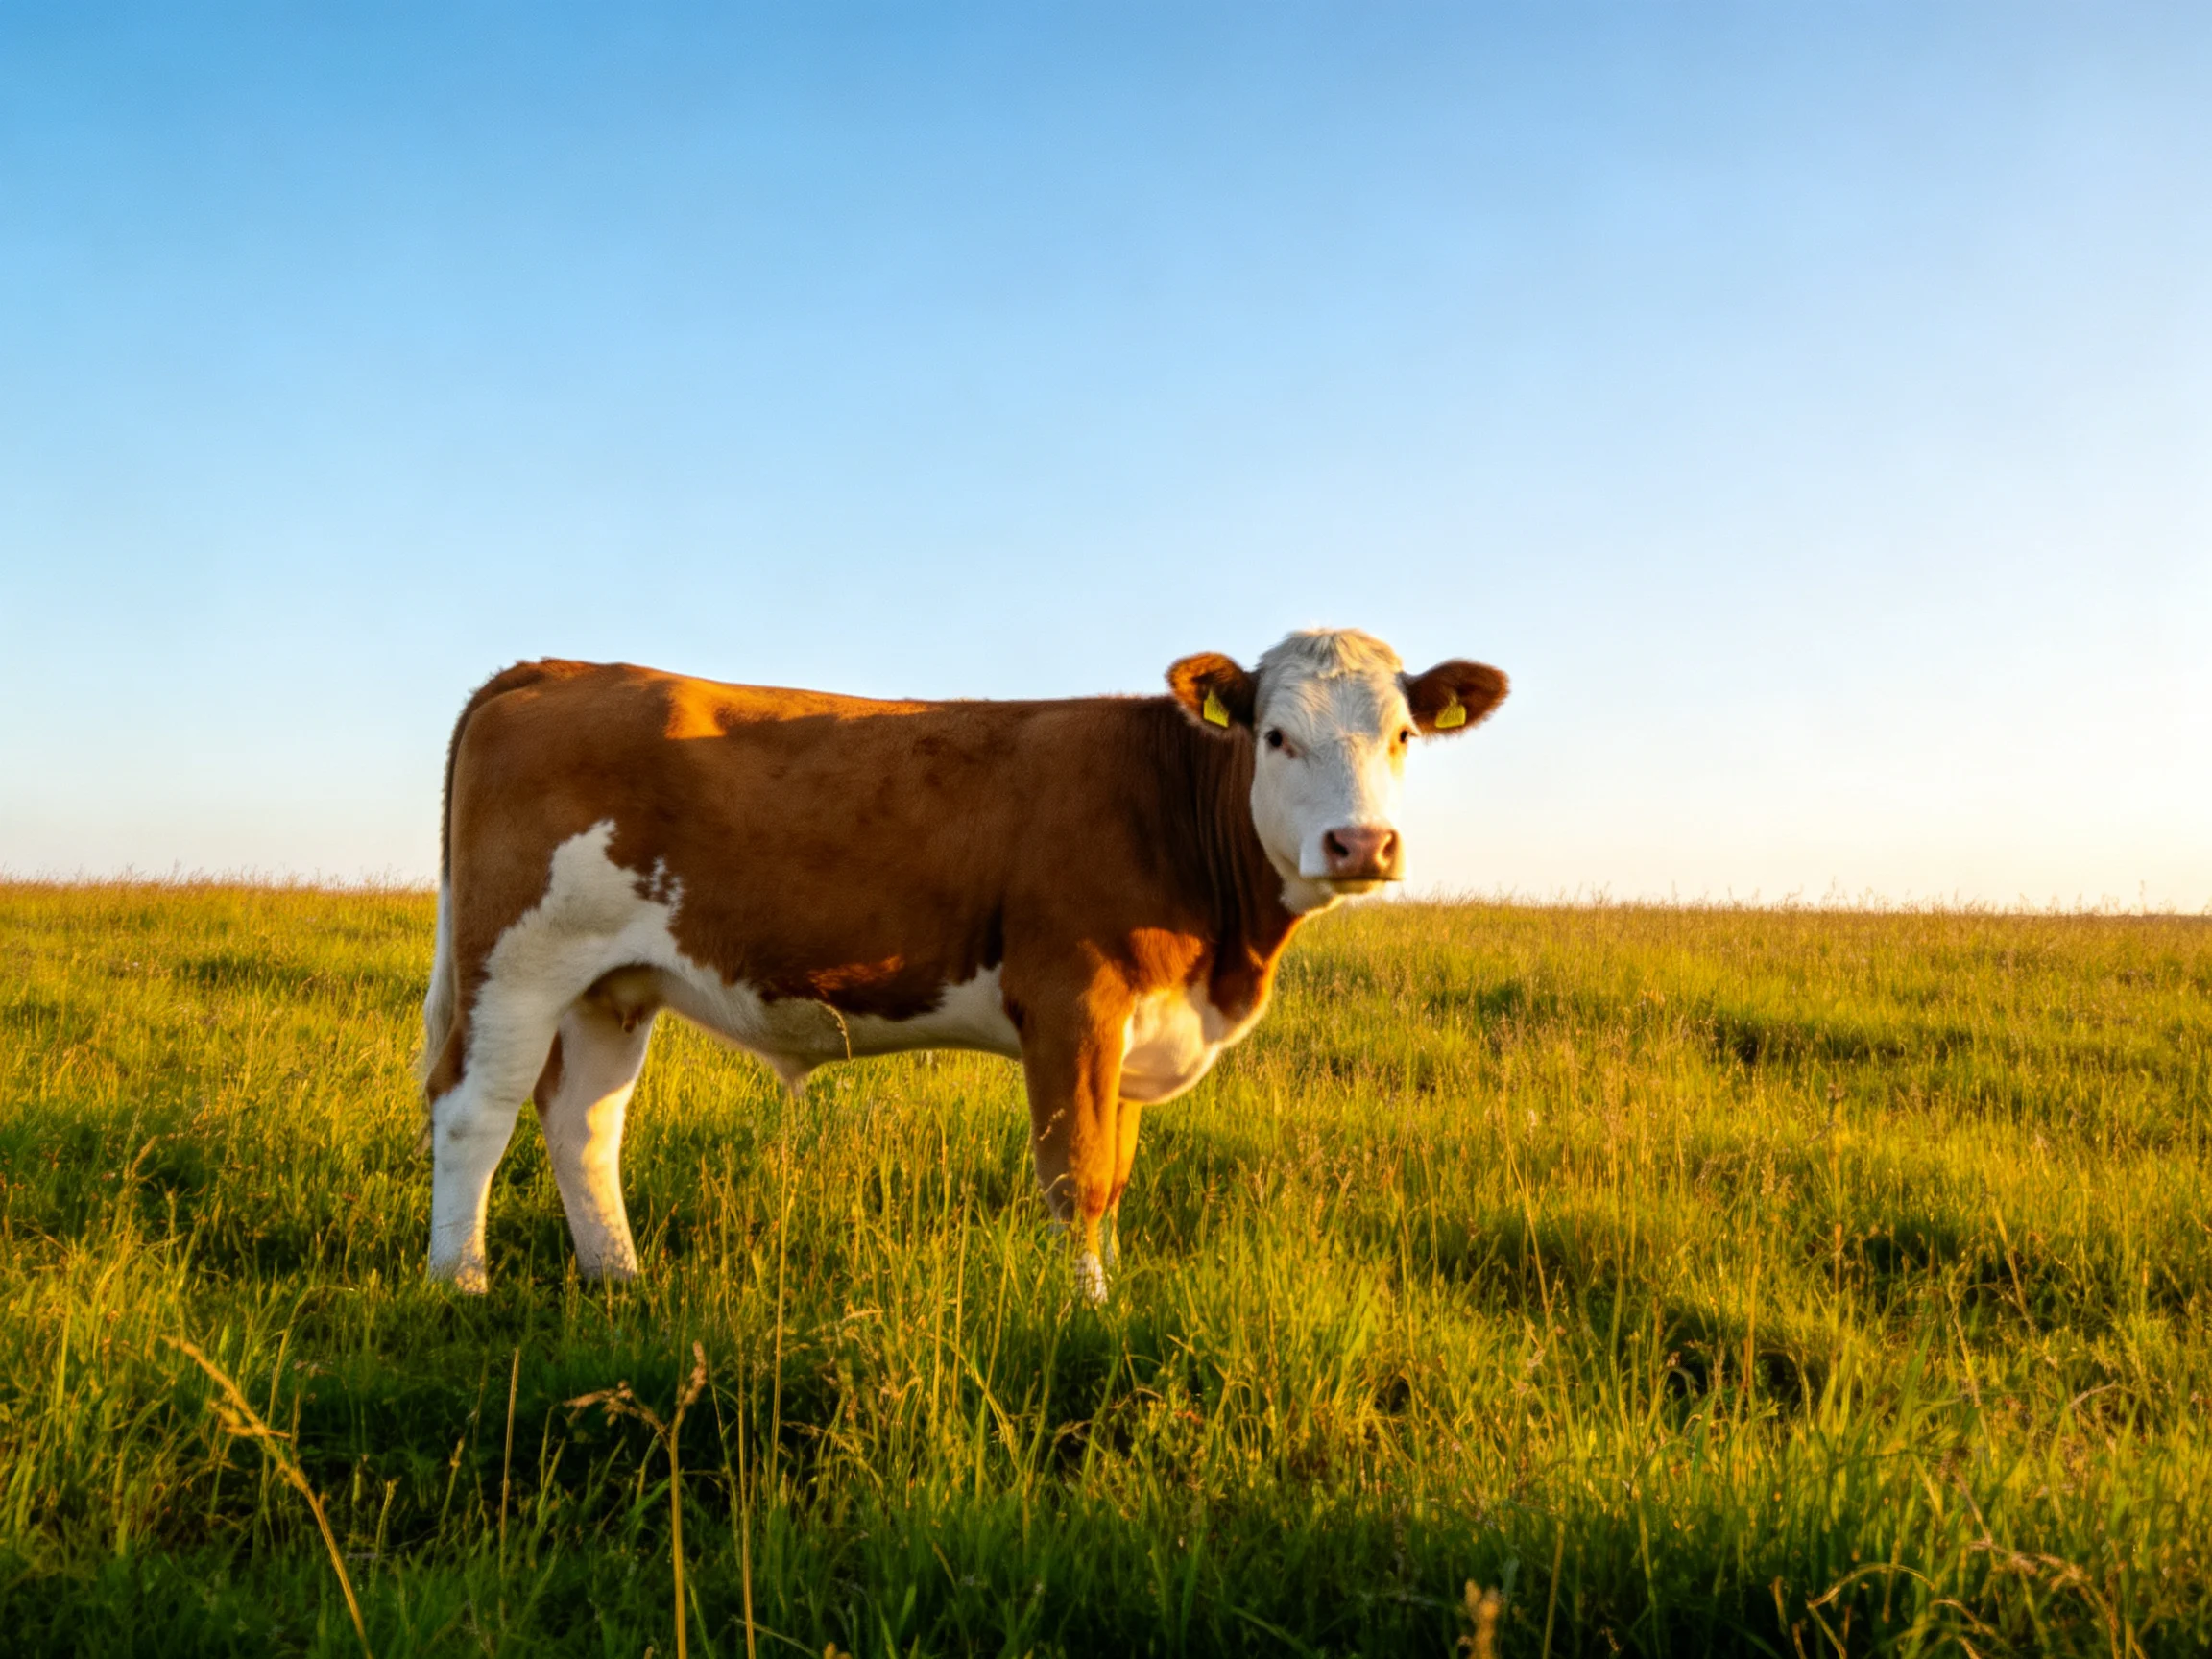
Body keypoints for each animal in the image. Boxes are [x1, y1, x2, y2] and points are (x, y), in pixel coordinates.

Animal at [419, 628, 1507, 1300]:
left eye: (1403, 736)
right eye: (1275, 736)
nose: (1360, 845)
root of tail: (558, 667)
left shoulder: (1136, 1026)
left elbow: (1116, 1173)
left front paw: (1111, 1293)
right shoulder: (1073, 1002)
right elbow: (1078, 1176)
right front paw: (1086, 1312)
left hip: (611, 984)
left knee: (584, 1122)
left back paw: (619, 1279)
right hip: (515, 961)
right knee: (475, 1111)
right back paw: (460, 1284)